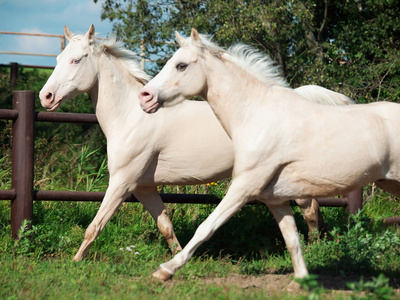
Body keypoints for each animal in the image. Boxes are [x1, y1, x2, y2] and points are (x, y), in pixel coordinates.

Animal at [39, 25, 354, 264]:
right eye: (58, 57)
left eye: (77, 60)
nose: (46, 96)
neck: (130, 116)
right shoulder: (143, 188)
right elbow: (165, 225)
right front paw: (178, 259)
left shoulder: (121, 182)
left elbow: (94, 226)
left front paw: (74, 262)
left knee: (310, 210)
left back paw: (313, 251)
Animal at [138, 28, 400, 282]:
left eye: (181, 65)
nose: (145, 97)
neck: (255, 114)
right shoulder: (276, 199)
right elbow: (292, 240)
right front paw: (302, 281)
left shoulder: (244, 185)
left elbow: (206, 226)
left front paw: (165, 270)